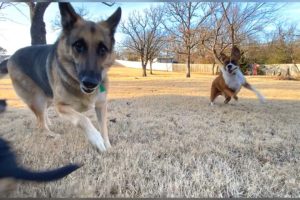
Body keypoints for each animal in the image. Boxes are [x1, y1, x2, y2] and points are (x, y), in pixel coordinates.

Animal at [0, 2, 122, 152]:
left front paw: (108, 146)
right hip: (38, 99)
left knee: (41, 116)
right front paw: (96, 139)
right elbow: (83, 119)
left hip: (47, 98)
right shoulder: (61, 106)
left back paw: (49, 123)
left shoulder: (101, 105)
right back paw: (52, 135)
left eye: (103, 49)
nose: (90, 83)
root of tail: (10, 58)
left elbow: (104, 128)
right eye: (78, 45)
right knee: (40, 124)